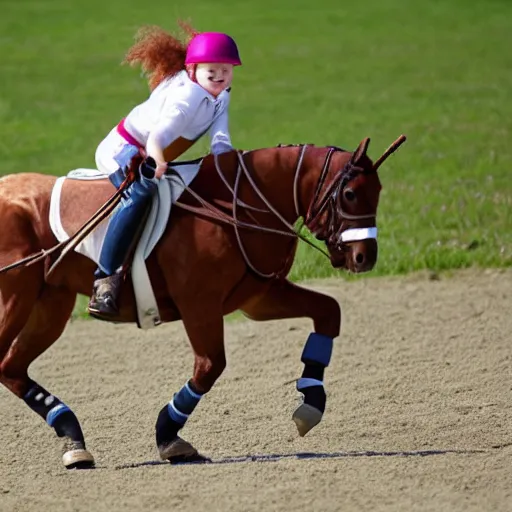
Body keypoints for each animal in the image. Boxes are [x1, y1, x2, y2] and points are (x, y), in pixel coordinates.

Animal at [0, 135, 406, 468]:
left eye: (379, 191)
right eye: (351, 194)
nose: (365, 256)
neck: (237, 205)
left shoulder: (259, 297)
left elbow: (328, 313)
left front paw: (311, 402)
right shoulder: (200, 304)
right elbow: (209, 367)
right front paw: (168, 436)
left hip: (51, 304)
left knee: (11, 368)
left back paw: (73, 439)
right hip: (16, 299)